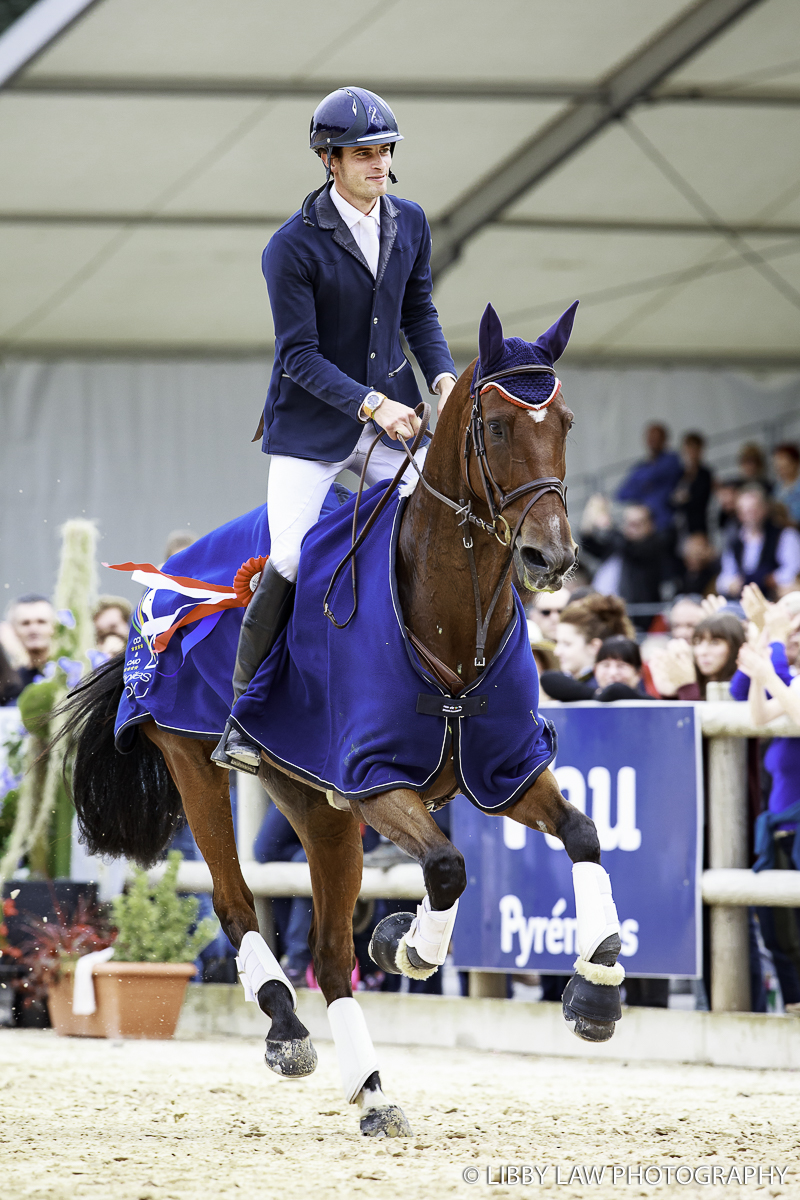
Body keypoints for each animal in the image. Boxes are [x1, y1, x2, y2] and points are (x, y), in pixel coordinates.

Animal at [59, 300, 628, 1132]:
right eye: (494, 426)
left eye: (567, 421)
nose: (549, 558)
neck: (451, 620)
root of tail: (168, 581)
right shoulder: (374, 779)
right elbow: (448, 867)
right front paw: (410, 945)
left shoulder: (506, 769)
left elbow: (582, 832)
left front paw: (596, 986)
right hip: (198, 764)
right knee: (236, 903)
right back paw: (286, 1027)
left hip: (314, 805)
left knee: (329, 953)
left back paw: (374, 1090)